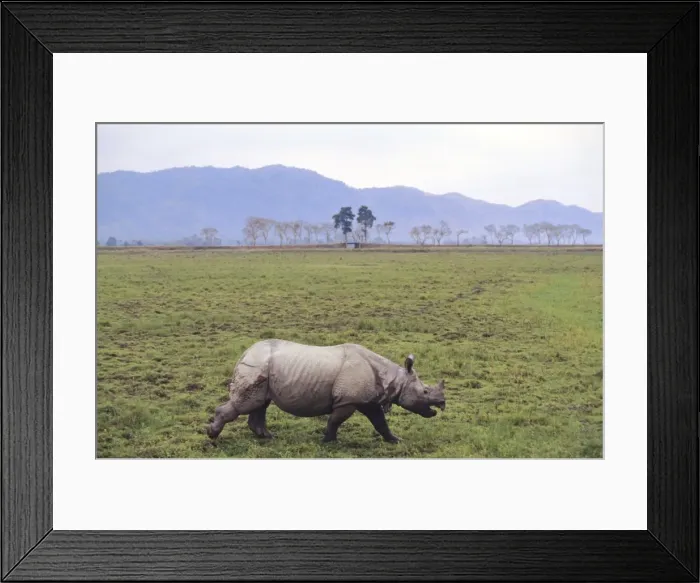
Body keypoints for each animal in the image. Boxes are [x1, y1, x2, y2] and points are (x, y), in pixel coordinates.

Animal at [207, 339, 446, 444]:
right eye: (425, 392)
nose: (442, 405)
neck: (394, 378)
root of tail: (245, 352)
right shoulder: (348, 400)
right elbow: (335, 420)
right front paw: (328, 441)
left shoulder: (367, 400)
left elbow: (380, 423)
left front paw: (395, 440)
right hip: (256, 366)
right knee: (246, 404)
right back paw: (212, 435)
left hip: (262, 368)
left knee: (260, 403)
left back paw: (267, 437)